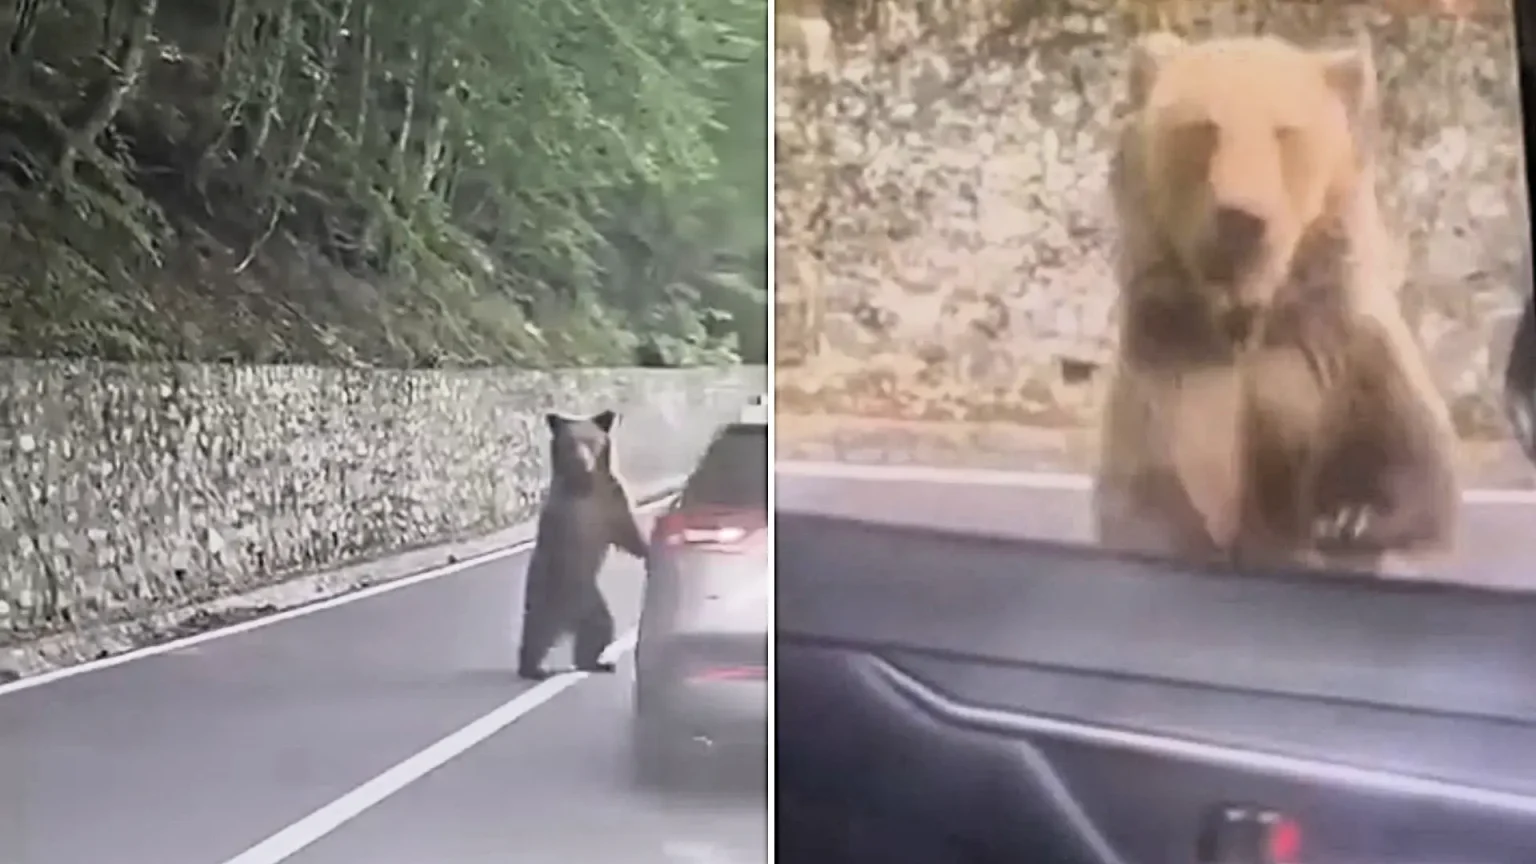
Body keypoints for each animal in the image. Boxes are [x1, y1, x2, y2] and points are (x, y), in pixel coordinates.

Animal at [517, 409, 649, 681]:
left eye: (591, 442)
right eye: (570, 443)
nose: (581, 460)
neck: (586, 485)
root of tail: (566, 622)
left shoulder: (612, 497)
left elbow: (627, 532)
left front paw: (647, 548)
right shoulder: (564, 513)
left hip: (591, 604)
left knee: (599, 628)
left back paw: (595, 662)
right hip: (546, 595)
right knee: (536, 631)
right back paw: (533, 668)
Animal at [1093, 30, 1460, 574]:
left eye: (1286, 132)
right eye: (1204, 127)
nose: (1242, 219)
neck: (1245, 317)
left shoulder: (1337, 347)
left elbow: (1409, 456)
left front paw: (1351, 517)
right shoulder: (1171, 369)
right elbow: (1158, 491)